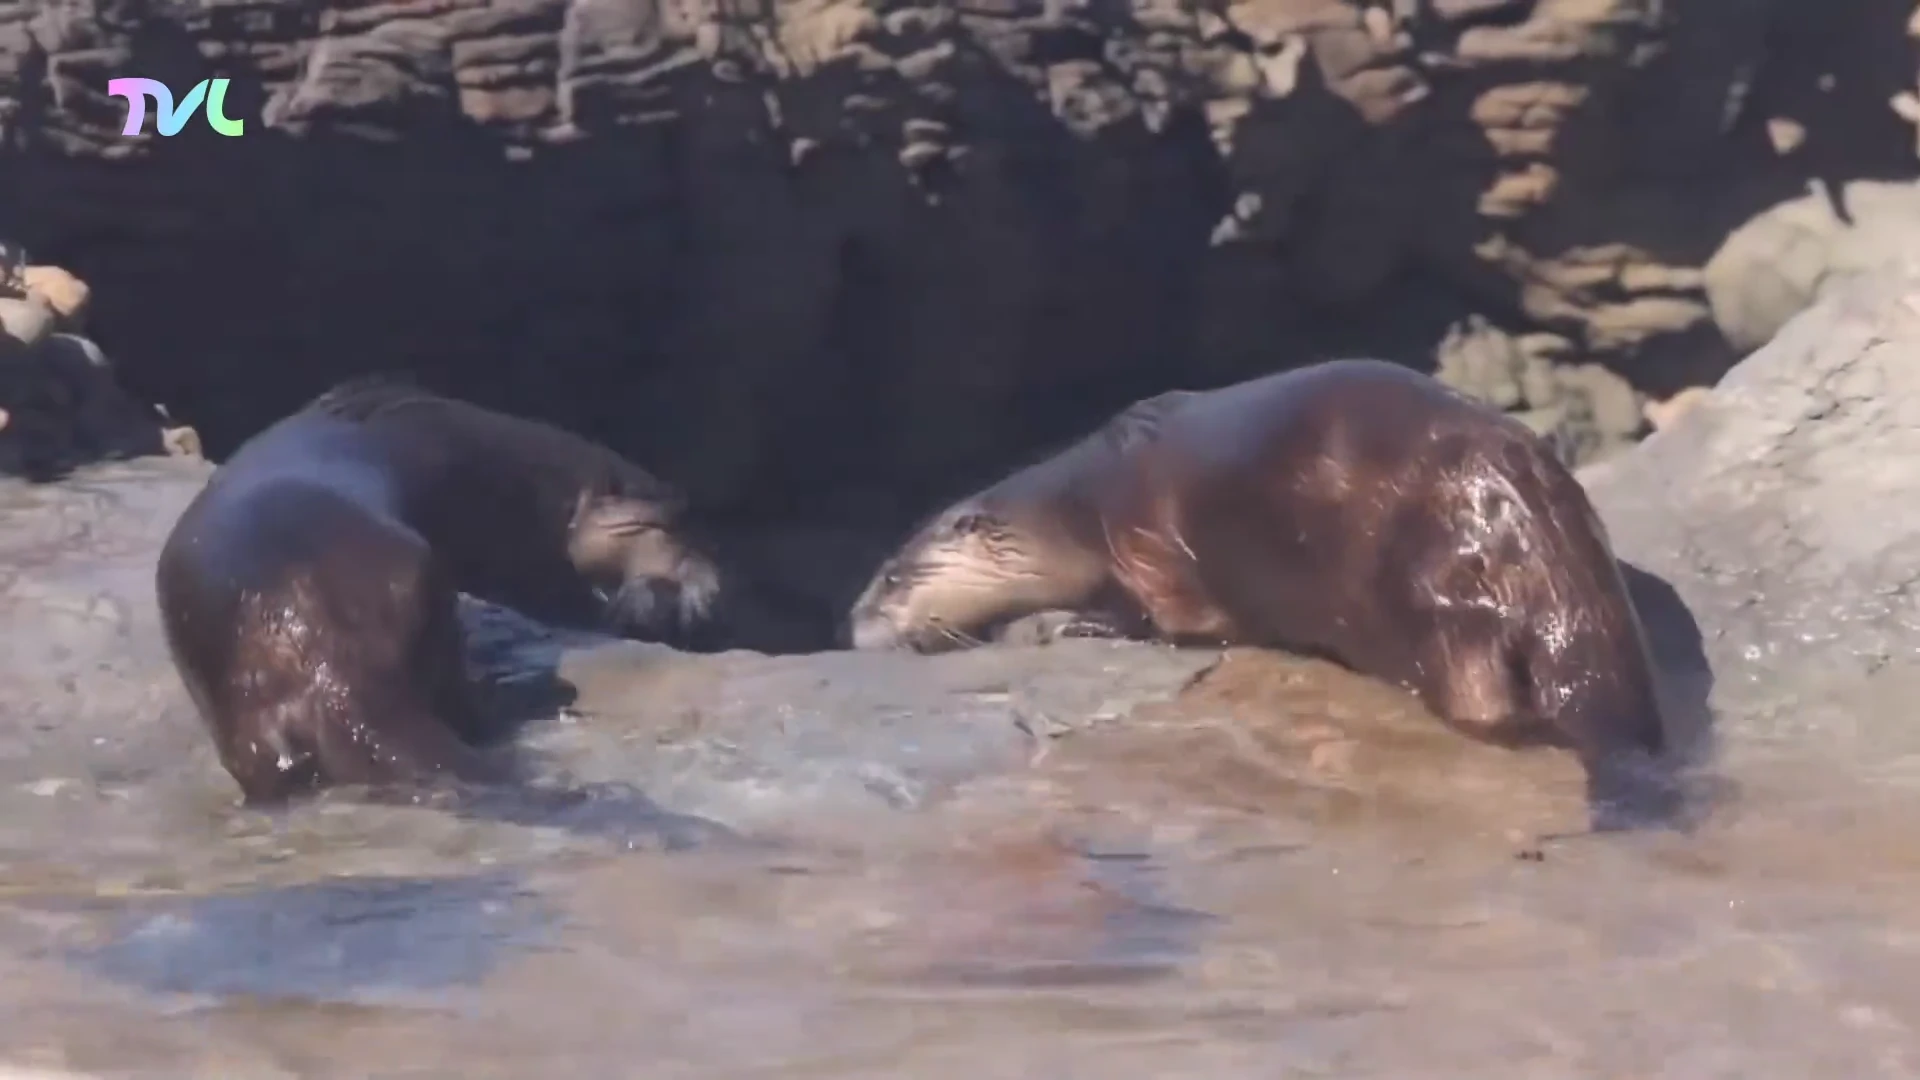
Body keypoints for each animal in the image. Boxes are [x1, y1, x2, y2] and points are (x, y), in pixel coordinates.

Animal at [845, 358, 1677, 828]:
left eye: (891, 576)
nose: (853, 624)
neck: (1079, 508)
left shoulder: (1149, 551)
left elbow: (1153, 617)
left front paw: (1064, 623)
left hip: (1436, 599)